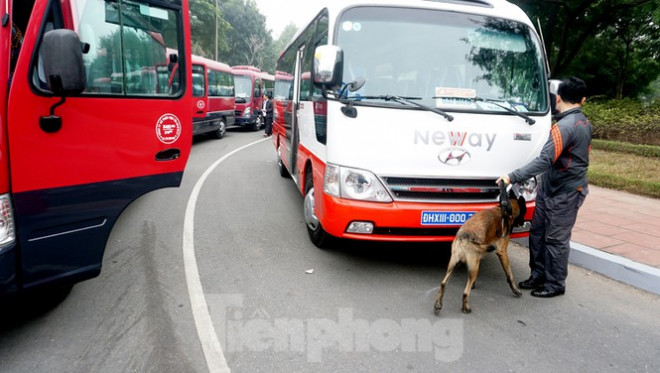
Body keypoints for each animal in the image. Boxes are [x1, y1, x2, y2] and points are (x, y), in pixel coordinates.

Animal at [434, 186, 524, 314]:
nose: (522, 222)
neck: (505, 211)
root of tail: (464, 238)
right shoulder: (502, 252)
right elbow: (509, 275)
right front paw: (515, 290)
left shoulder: (479, 256)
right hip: (470, 268)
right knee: (465, 292)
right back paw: (465, 307)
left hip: (454, 264)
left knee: (442, 284)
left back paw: (438, 305)